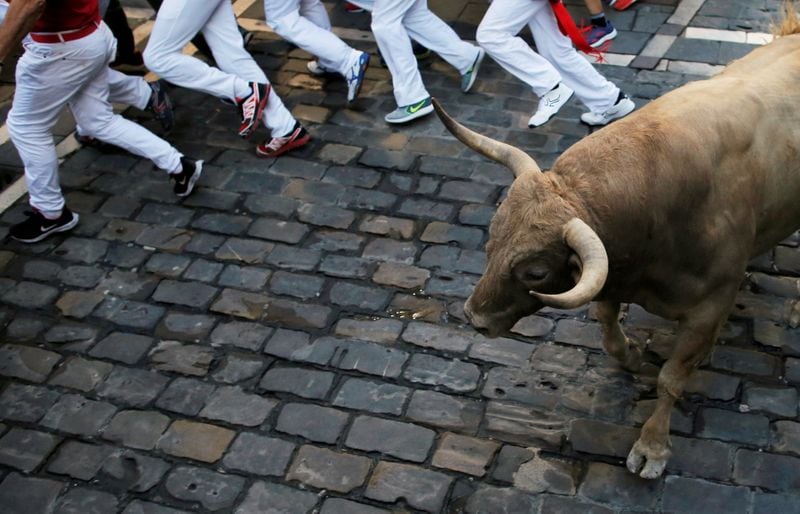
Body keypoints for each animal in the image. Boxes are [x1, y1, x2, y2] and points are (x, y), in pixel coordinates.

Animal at [438, 6, 800, 476]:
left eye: (535, 272)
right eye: (490, 243)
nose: (475, 318)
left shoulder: (710, 305)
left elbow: (672, 378)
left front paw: (653, 445)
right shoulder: (612, 275)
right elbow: (610, 335)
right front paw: (632, 357)